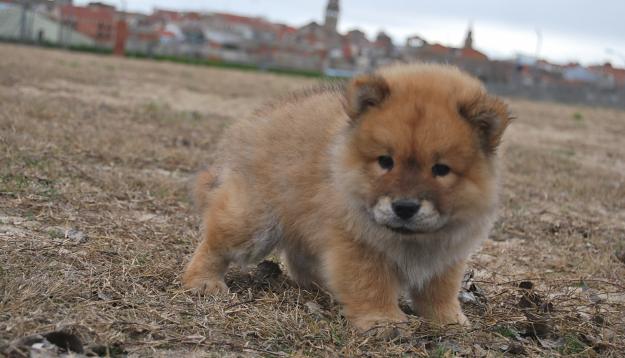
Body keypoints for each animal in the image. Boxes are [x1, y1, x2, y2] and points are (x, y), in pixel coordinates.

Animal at [183, 63, 510, 332]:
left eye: (440, 169)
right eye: (385, 161)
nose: (404, 207)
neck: (411, 239)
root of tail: (257, 119)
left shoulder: (445, 255)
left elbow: (439, 291)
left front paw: (448, 320)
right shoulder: (358, 246)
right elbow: (371, 285)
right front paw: (383, 321)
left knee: (300, 261)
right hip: (253, 223)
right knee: (214, 245)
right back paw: (203, 281)